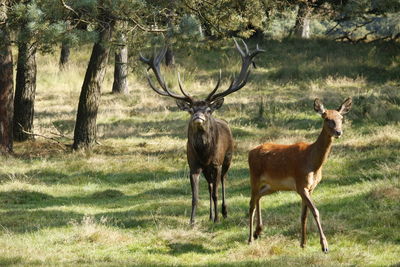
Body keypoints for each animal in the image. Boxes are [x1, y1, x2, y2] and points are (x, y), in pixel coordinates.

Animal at [139, 39, 264, 224]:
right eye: (191, 110)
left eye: (208, 110)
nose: (198, 117)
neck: (204, 153)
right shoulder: (193, 165)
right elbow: (195, 196)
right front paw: (192, 221)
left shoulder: (217, 163)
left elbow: (216, 193)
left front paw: (217, 218)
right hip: (207, 169)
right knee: (210, 185)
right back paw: (211, 215)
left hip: (228, 157)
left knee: (222, 181)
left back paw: (223, 212)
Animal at [248, 97, 352, 252]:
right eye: (326, 118)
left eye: (341, 118)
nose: (338, 132)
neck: (313, 163)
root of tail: (250, 152)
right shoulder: (300, 185)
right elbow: (315, 211)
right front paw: (324, 246)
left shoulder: (310, 188)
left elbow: (304, 215)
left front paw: (303, 243)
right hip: (254, 176)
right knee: (251, 204)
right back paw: (250, 239)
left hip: (273, 185)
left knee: (258, 196)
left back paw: (258, 231)